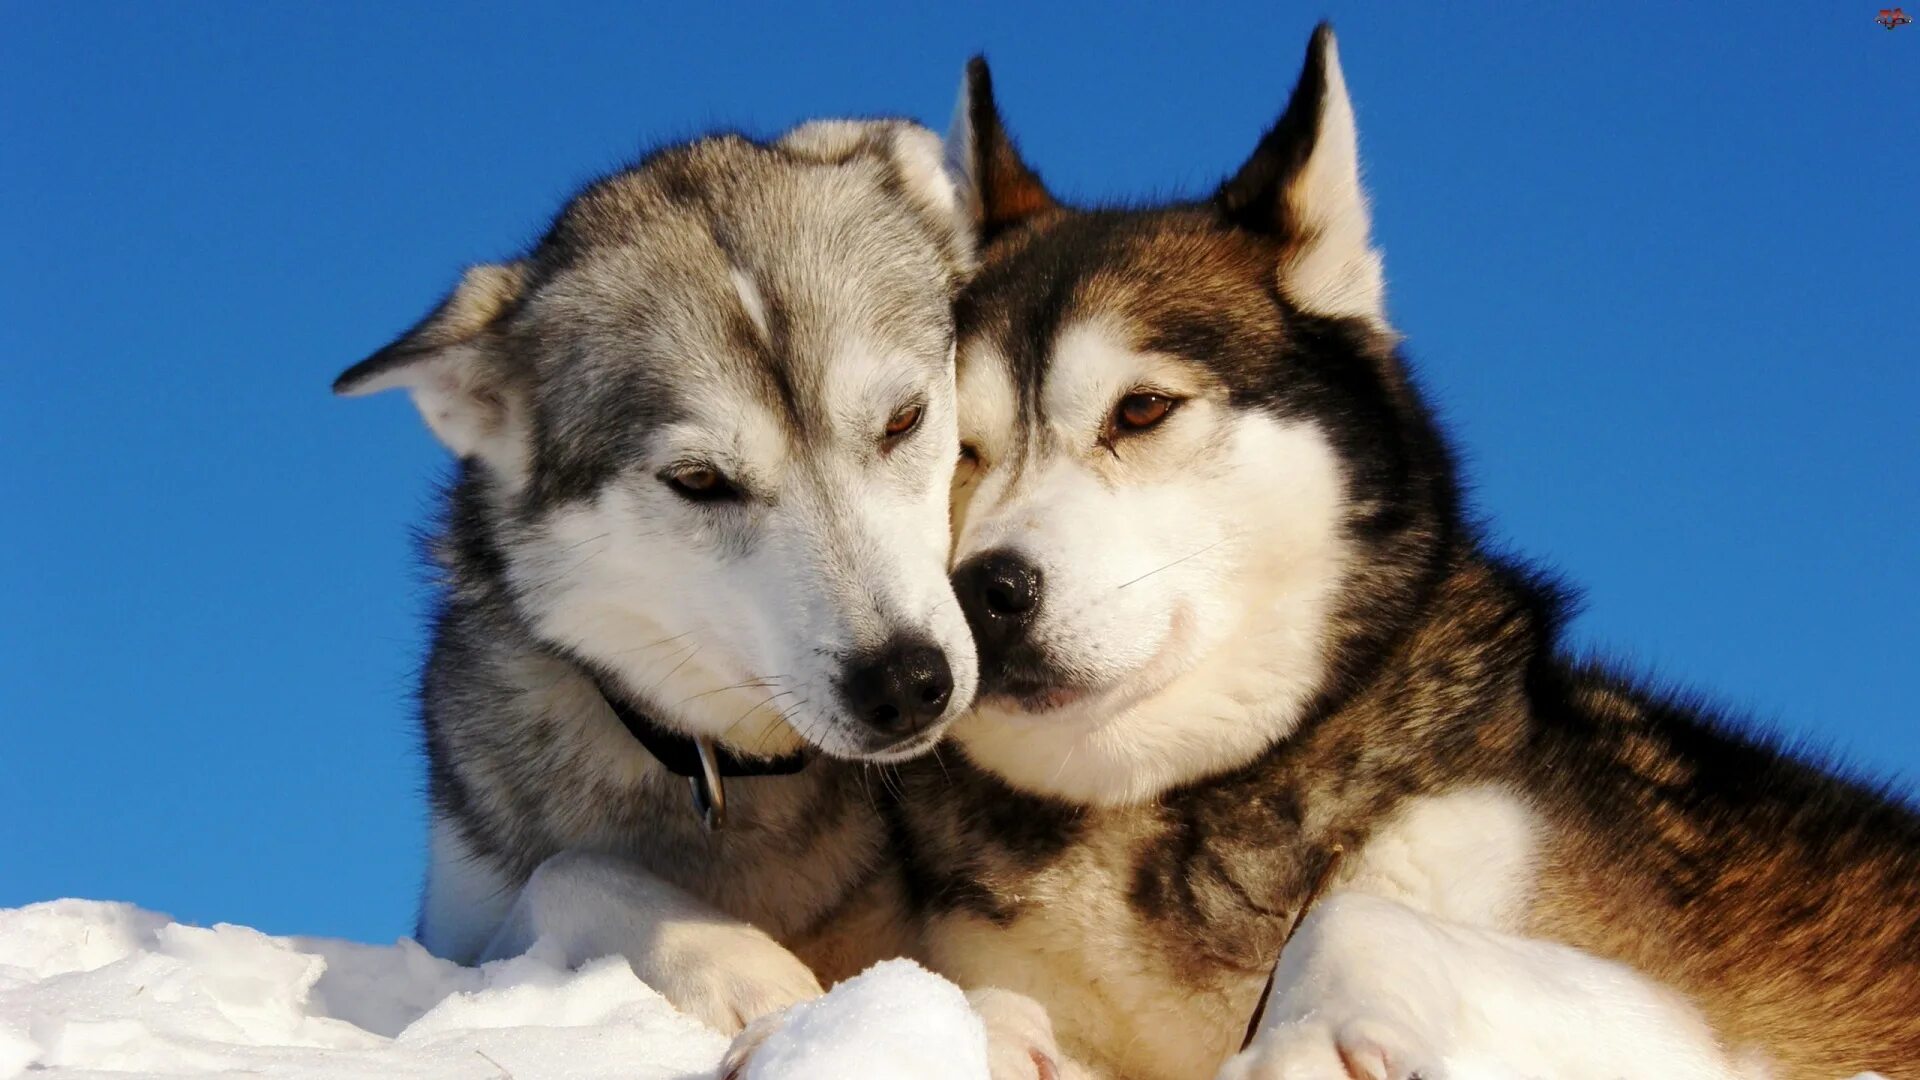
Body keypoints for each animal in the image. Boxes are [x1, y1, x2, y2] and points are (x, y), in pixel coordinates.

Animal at [332, 115, 983, 1022]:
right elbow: (567, 869)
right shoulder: (454, 934)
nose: (904, 682)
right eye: (699, 480)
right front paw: (737, 964)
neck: (735, 772)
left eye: (903, 420)